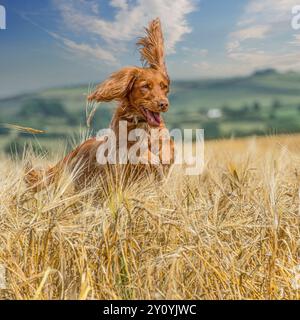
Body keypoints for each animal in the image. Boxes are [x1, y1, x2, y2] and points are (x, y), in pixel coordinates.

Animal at [26, 17, 176, 191]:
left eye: (164, 87)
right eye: (145, 86)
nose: (164, 104)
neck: (143, 126)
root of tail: (75, 150)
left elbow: (169, 150)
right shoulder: (120, 154)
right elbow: (137, 152)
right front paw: (153, 160)